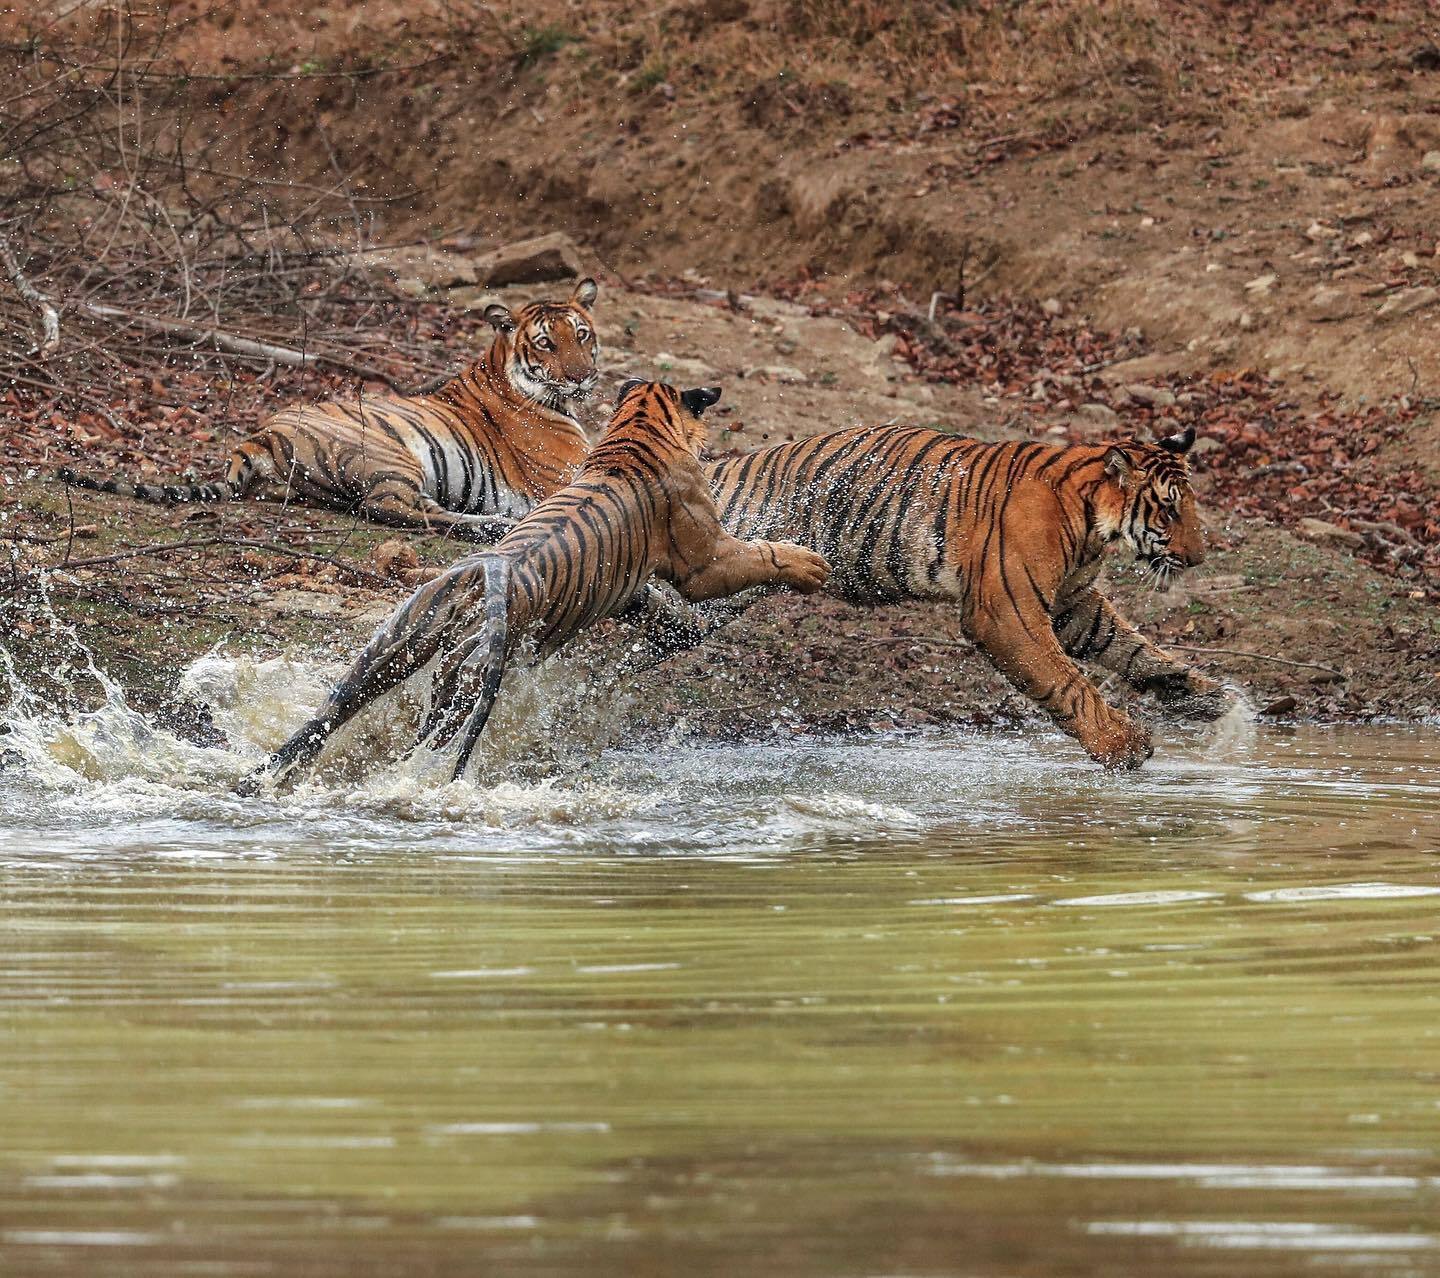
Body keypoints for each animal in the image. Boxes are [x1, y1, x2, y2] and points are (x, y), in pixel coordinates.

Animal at [60, 279, 601, 538]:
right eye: (546, 343)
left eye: (582, 335)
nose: (582, 376)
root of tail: (255, 436)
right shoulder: (570, 472)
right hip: (391, 456)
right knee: (397, 509)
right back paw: (496, 526)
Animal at [244, 379, 835, 788]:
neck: (635, 429)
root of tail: (480, 572)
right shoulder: (706, 560)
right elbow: (761, 554)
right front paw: (809, 564)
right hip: (467, 680)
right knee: (427, 744)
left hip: (383, 656)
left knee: (320, 726)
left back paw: (260, 780)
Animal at [636, 426, 1232, 771]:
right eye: (1169, 508)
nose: (1201, 557)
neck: (1090, 521)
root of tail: (718, 469)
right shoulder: (1006, 610)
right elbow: (1068, 682)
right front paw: (1121, 744)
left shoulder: (1074, 604)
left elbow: (1135, 650)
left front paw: (1207, 697)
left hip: (701, 608)